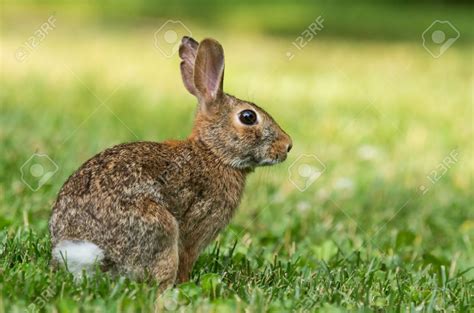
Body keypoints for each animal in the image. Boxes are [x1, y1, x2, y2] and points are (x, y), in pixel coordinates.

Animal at [49, 37, 292, 290]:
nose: (287, 146)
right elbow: (187, 259)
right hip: (162, 228)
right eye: (248, 117)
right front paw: (187, 284)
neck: (212, 153)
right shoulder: (196, 230)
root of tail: (84, 250)